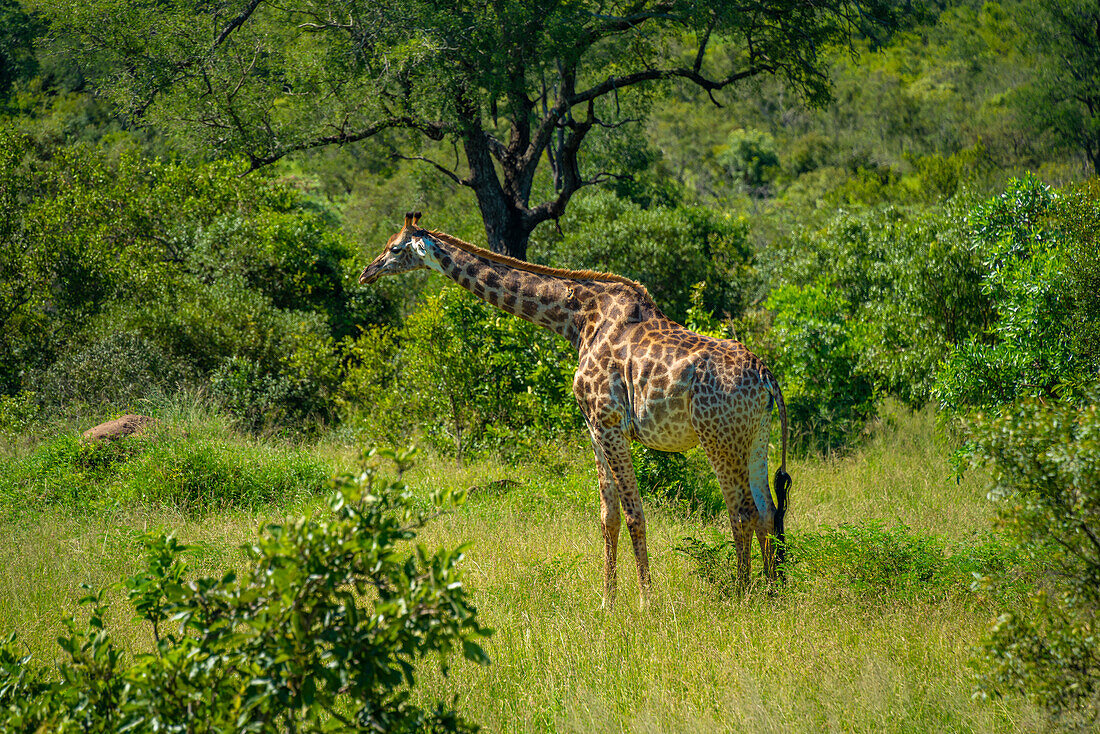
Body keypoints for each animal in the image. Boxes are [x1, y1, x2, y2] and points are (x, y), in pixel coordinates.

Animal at [360, 209, 792, 607]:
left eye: (394, 248)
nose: (367, 272)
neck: (577, 320)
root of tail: (767, 377)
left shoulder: (608, 422)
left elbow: (634, 512)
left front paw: (646, 600)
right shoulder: (594, 428)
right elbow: (608, 515)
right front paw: (607, 600)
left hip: (717, 437)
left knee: (742, 511)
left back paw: (741, 595)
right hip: (756, 435)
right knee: (767, 509)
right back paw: (773, 592)